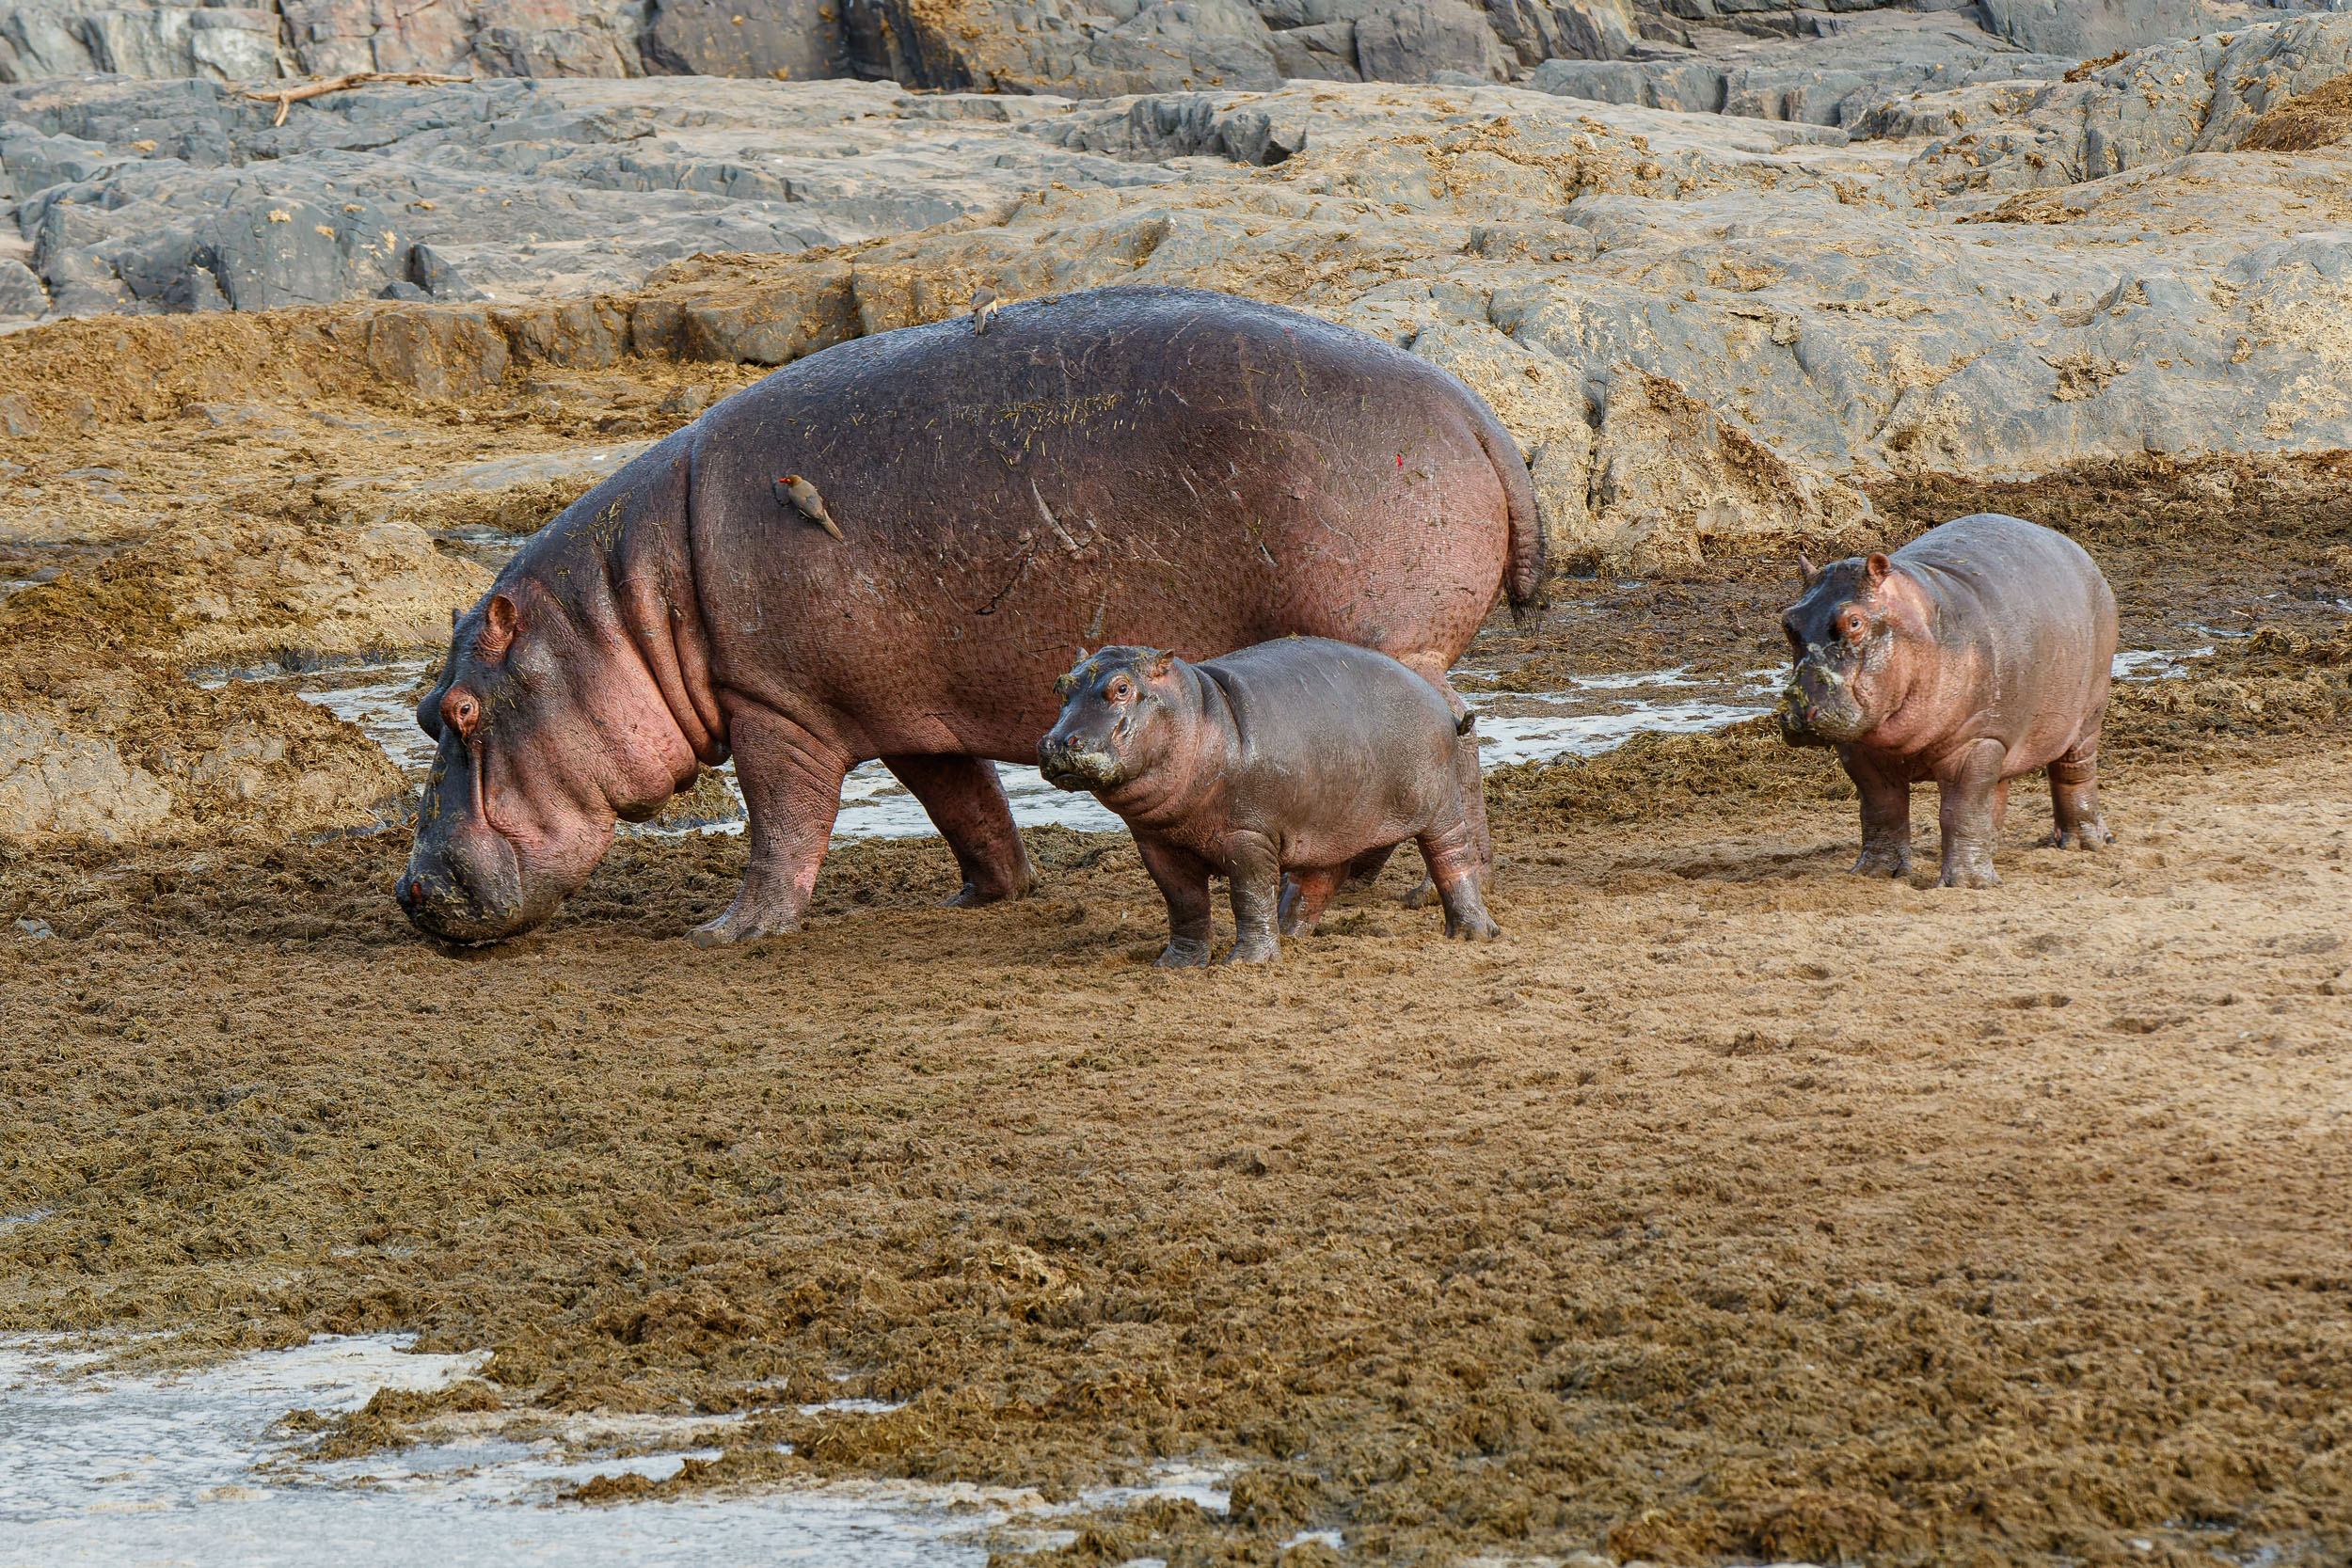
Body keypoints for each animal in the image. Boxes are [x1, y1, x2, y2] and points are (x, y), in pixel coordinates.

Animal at [1038, 639, 1500, 964]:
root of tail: (1442, 705)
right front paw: (1175, 964)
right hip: (1330, 820)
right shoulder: (1157, 845)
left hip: (1439, 810)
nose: (1056, 742)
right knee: (1319, 878)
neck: (1199, 713)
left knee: (1452, 860)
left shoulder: (1248, 835)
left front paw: (1247, 962)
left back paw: (1473, 934)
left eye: (1121, 688)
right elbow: (1184, 904)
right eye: (1060, 685)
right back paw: (1291, 935)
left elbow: (1249, 894)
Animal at [1778, 512, 2117, 888]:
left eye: (1854, 621)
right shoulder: (1860, 749)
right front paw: (1875, 873)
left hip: (2087, 713)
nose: (1798, 713)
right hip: (2005, 732)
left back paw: (2083, 843)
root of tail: (2073, 547)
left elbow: (1961, 810)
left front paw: (1968, 884)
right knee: (1996, 789)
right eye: (1787, 621)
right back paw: (1992, 850)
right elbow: (1882, 809)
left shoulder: (1976, 741)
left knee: (2074, 771)